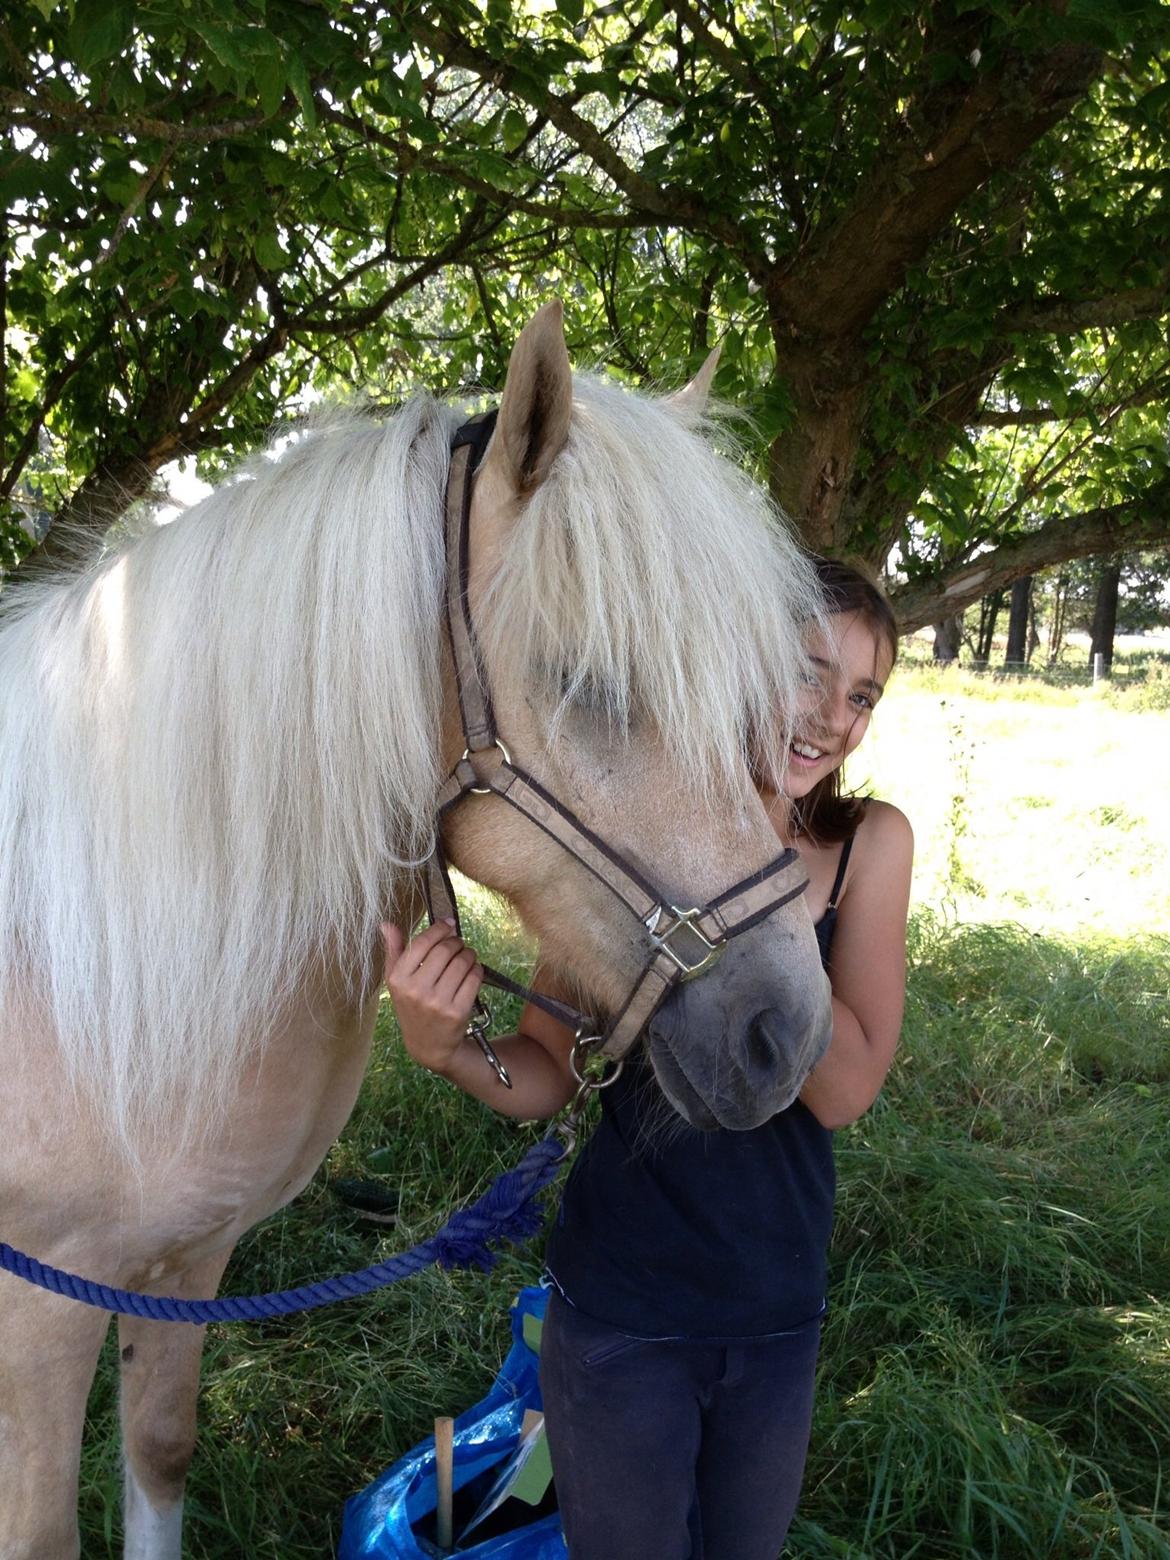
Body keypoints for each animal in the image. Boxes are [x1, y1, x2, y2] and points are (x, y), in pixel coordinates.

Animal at [0, 304, 836, 1560]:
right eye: (586, 683)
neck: (85, 967)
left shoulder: (183, 1263)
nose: (785, 1037)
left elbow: (160, 1452)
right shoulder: (44, 1304)